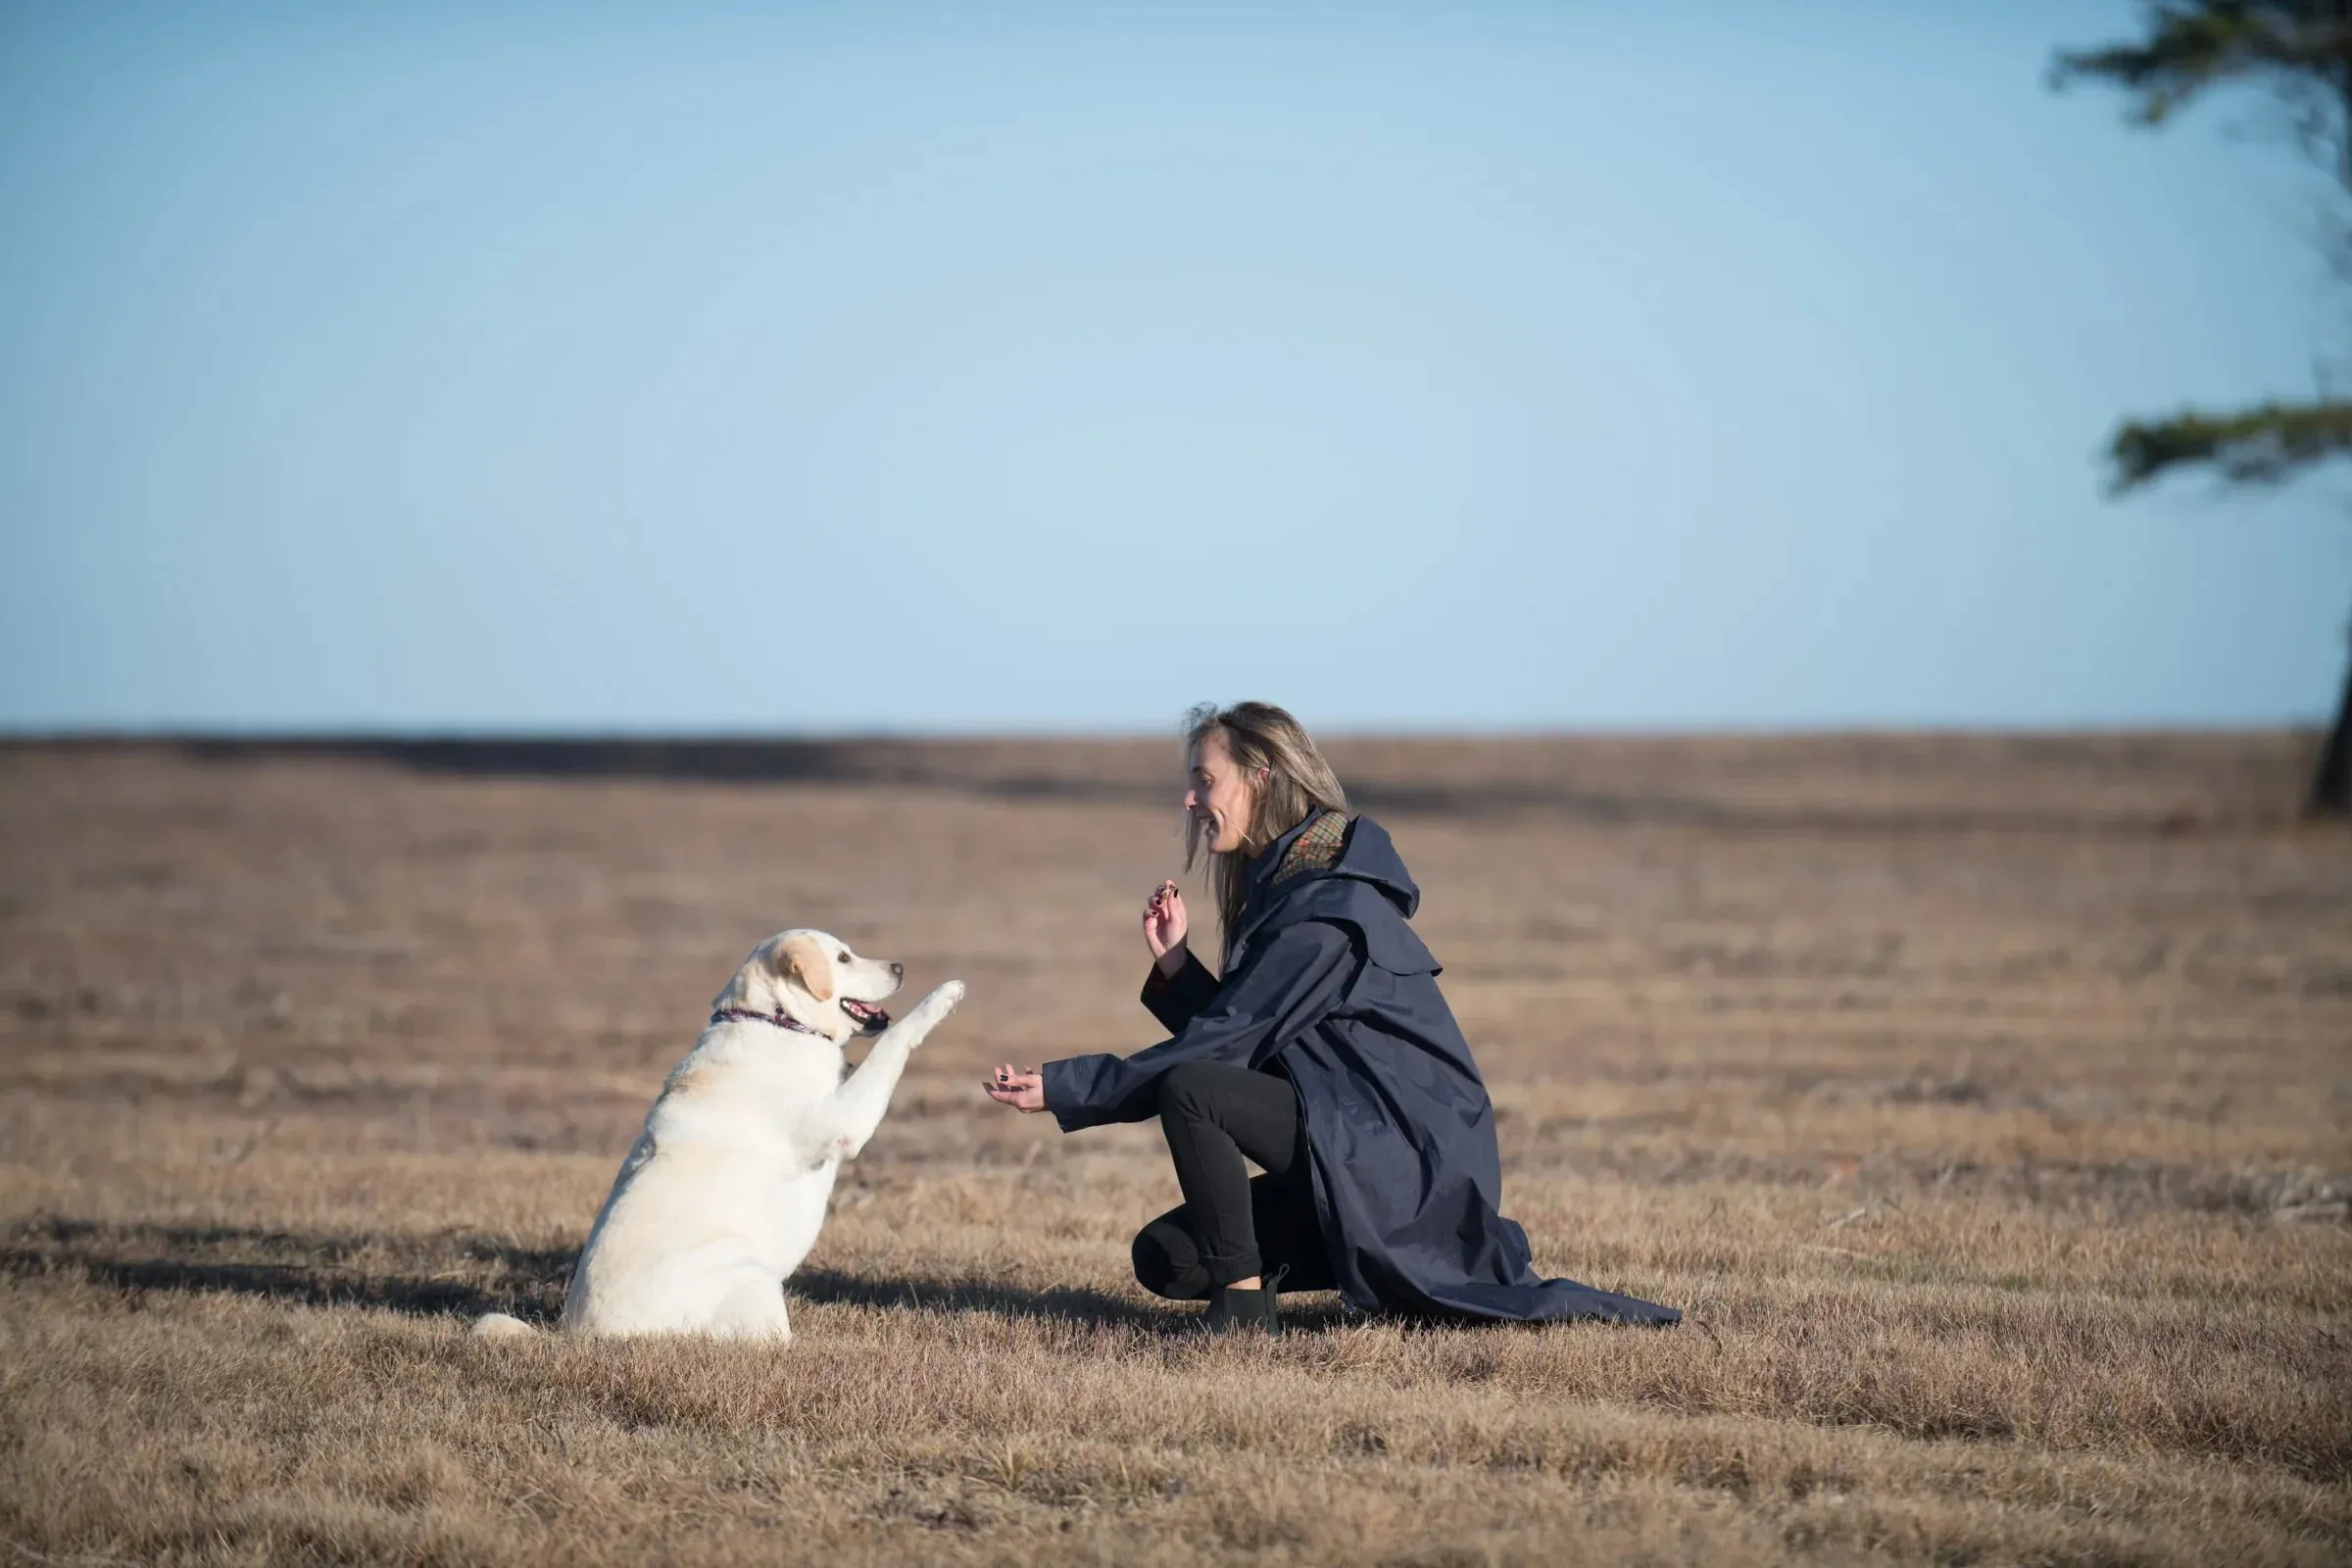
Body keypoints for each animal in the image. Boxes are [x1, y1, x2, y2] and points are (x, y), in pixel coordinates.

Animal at [472, 930, 959, 1353]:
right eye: (843, 958)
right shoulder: (843, 1121)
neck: (777, 1021)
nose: (899, 967)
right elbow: (893, 1042)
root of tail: (575, 1336)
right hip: (752, 1276)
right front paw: (943, 996)